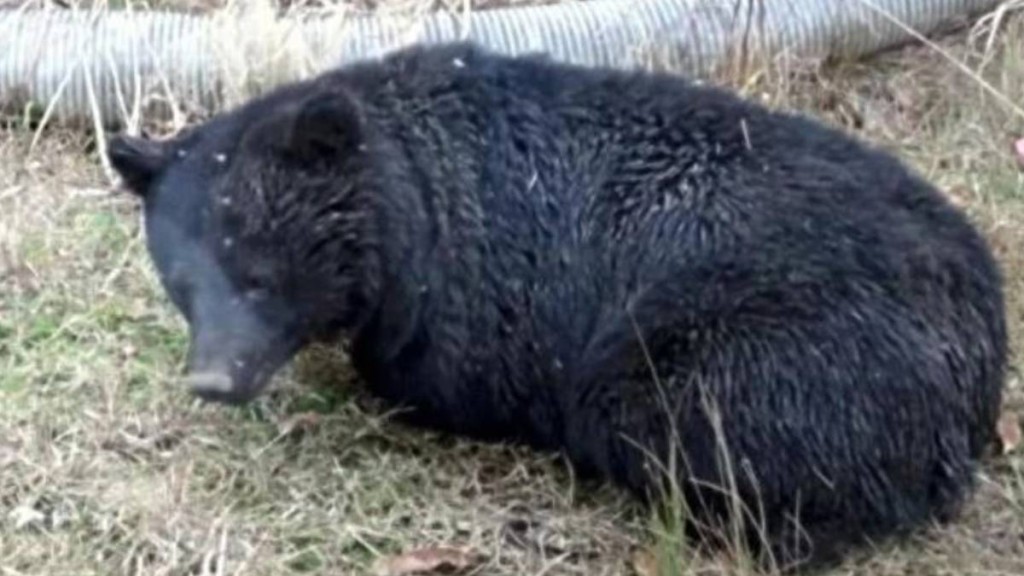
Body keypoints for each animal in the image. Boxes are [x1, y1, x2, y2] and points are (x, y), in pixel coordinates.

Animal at [105, 41, 1007, 570]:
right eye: (184, 285)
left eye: (261, 273)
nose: (215, 380)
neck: (410, 197)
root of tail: (981, 359)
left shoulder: (472, 312)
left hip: (777, 355)